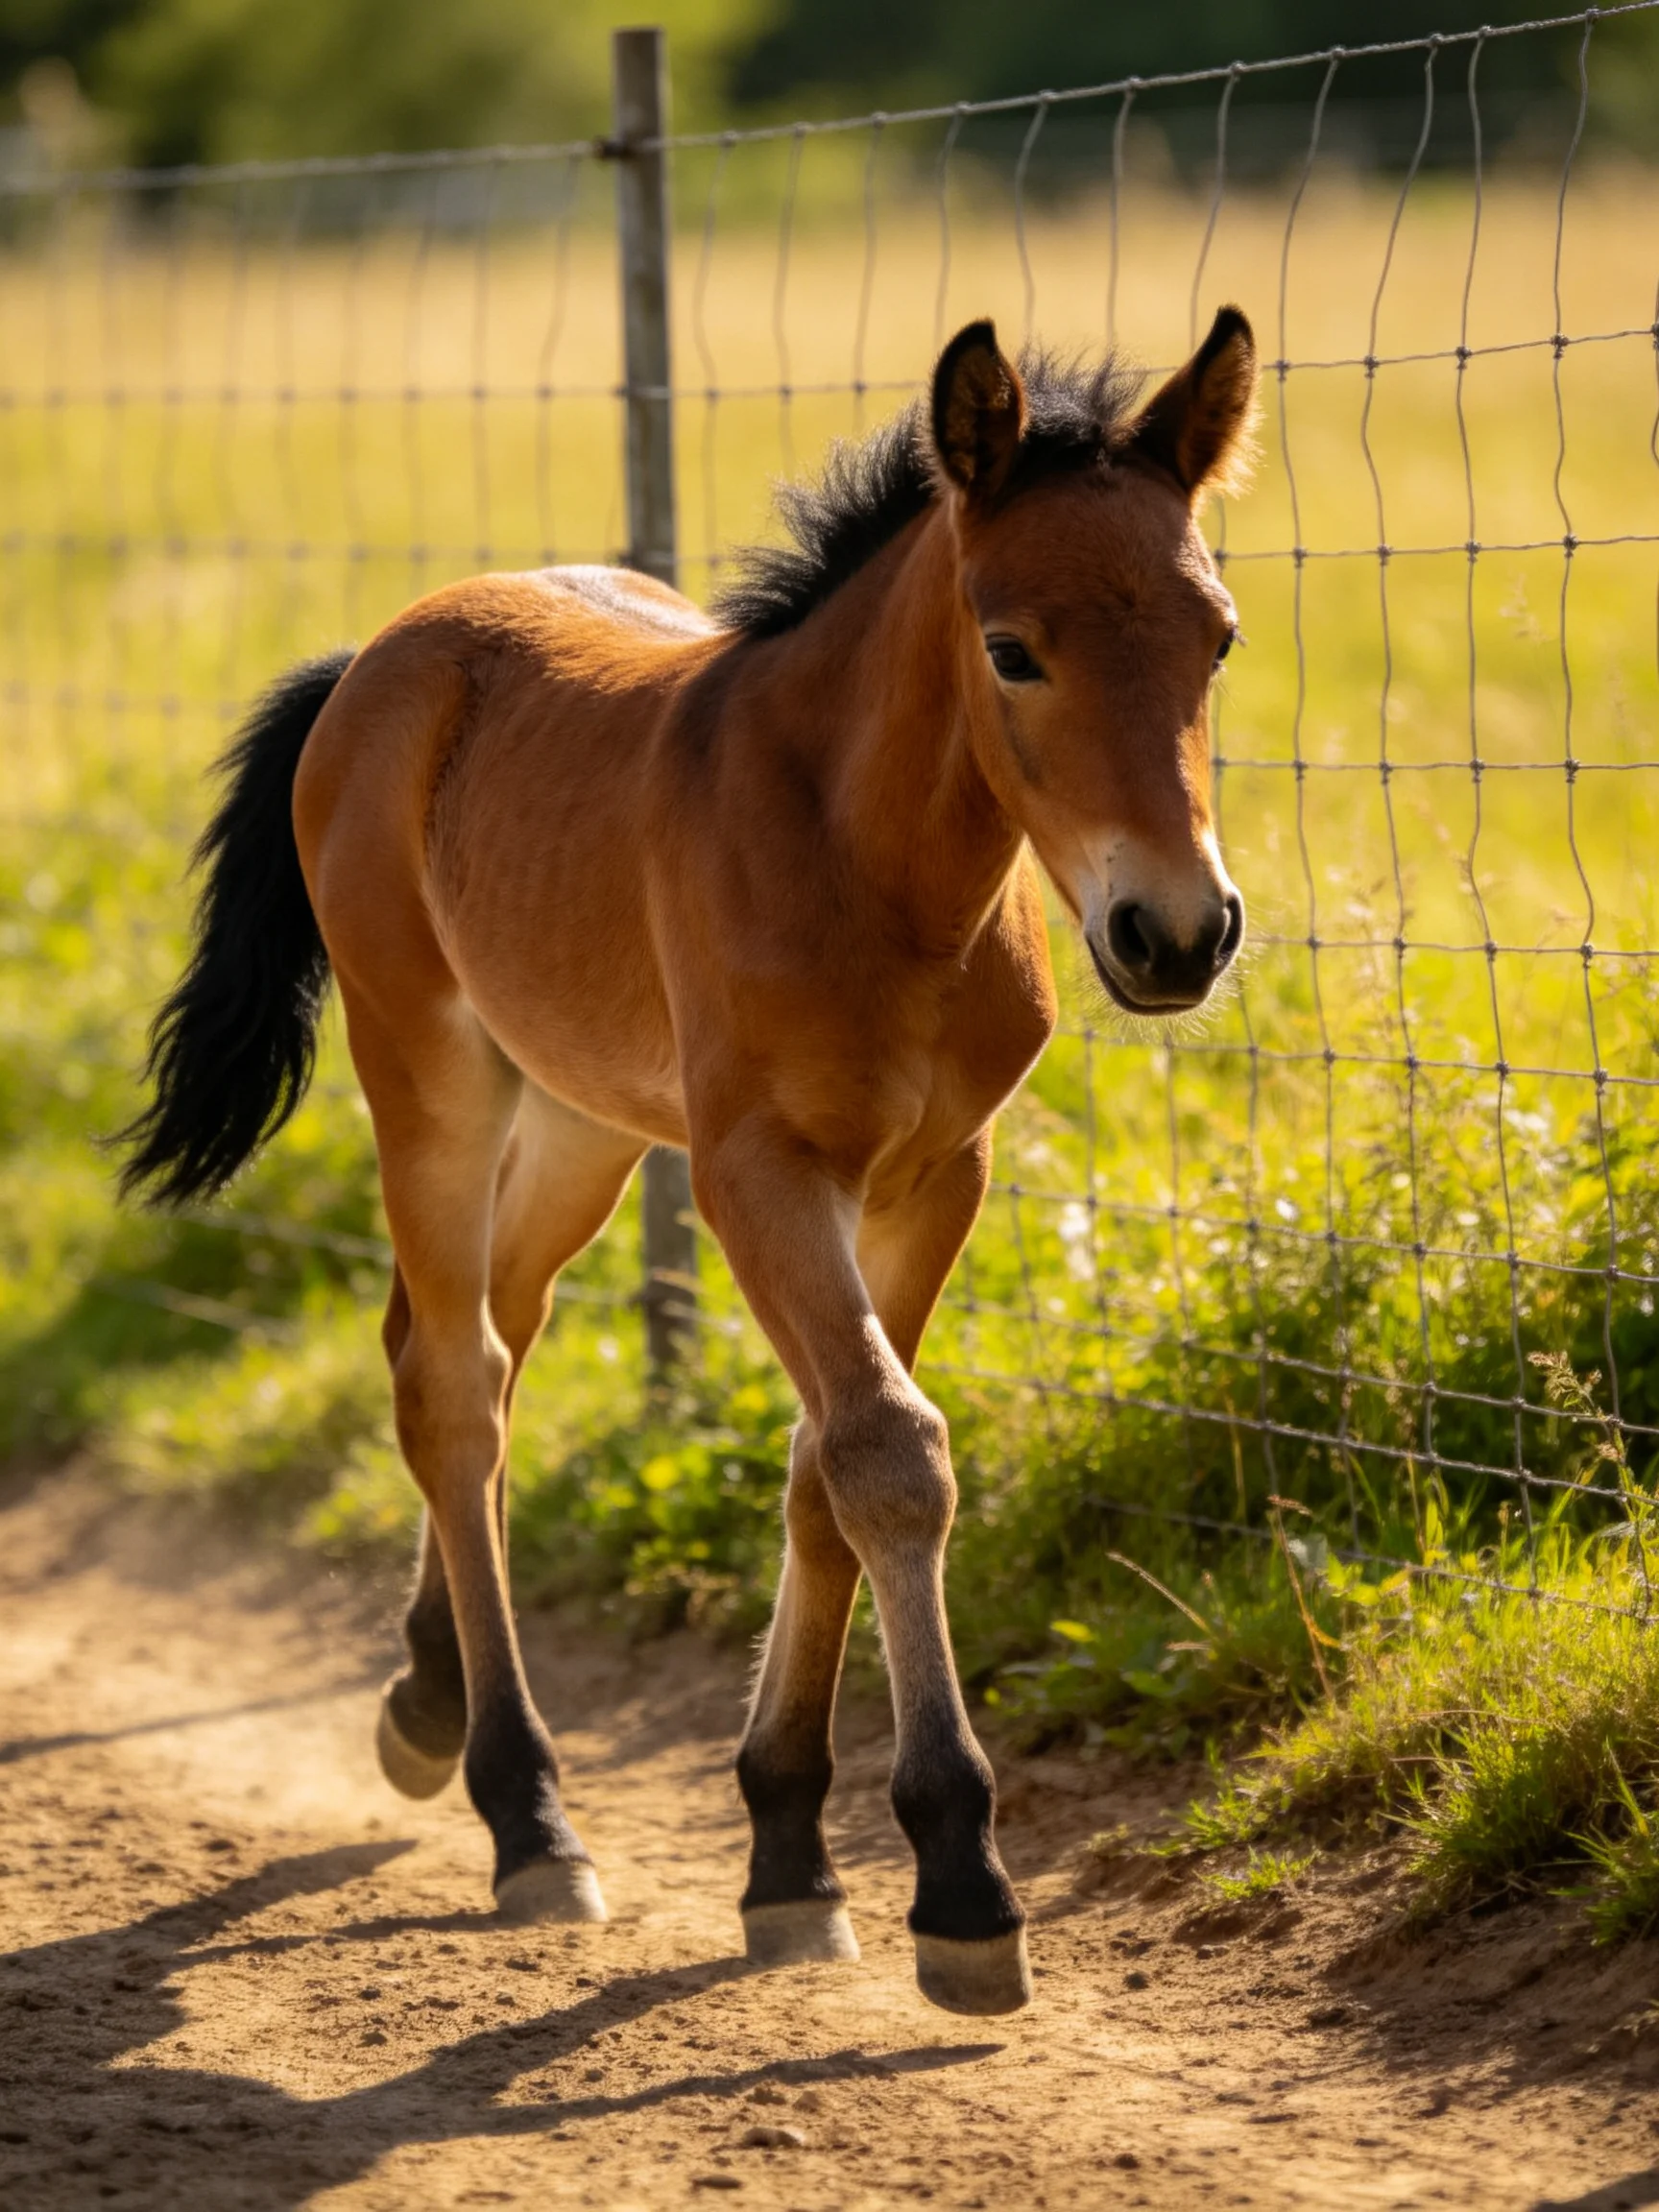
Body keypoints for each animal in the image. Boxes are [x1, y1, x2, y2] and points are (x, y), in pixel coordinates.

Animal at [120, 308, 1256, 2016]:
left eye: (1218, 639)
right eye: (1012, 648)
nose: (1175, 934)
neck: (873, 868)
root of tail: (381, 655)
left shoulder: (938, 1174)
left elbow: (823, 1468)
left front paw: (788, 1850)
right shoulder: (757, 1173)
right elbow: (887, 1453)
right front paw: (959, 1883)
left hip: (584, 1124)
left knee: (475, 1340)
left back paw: (425, 1696)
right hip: (432, 1076)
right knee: (452, 1385)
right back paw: (526, 1811)